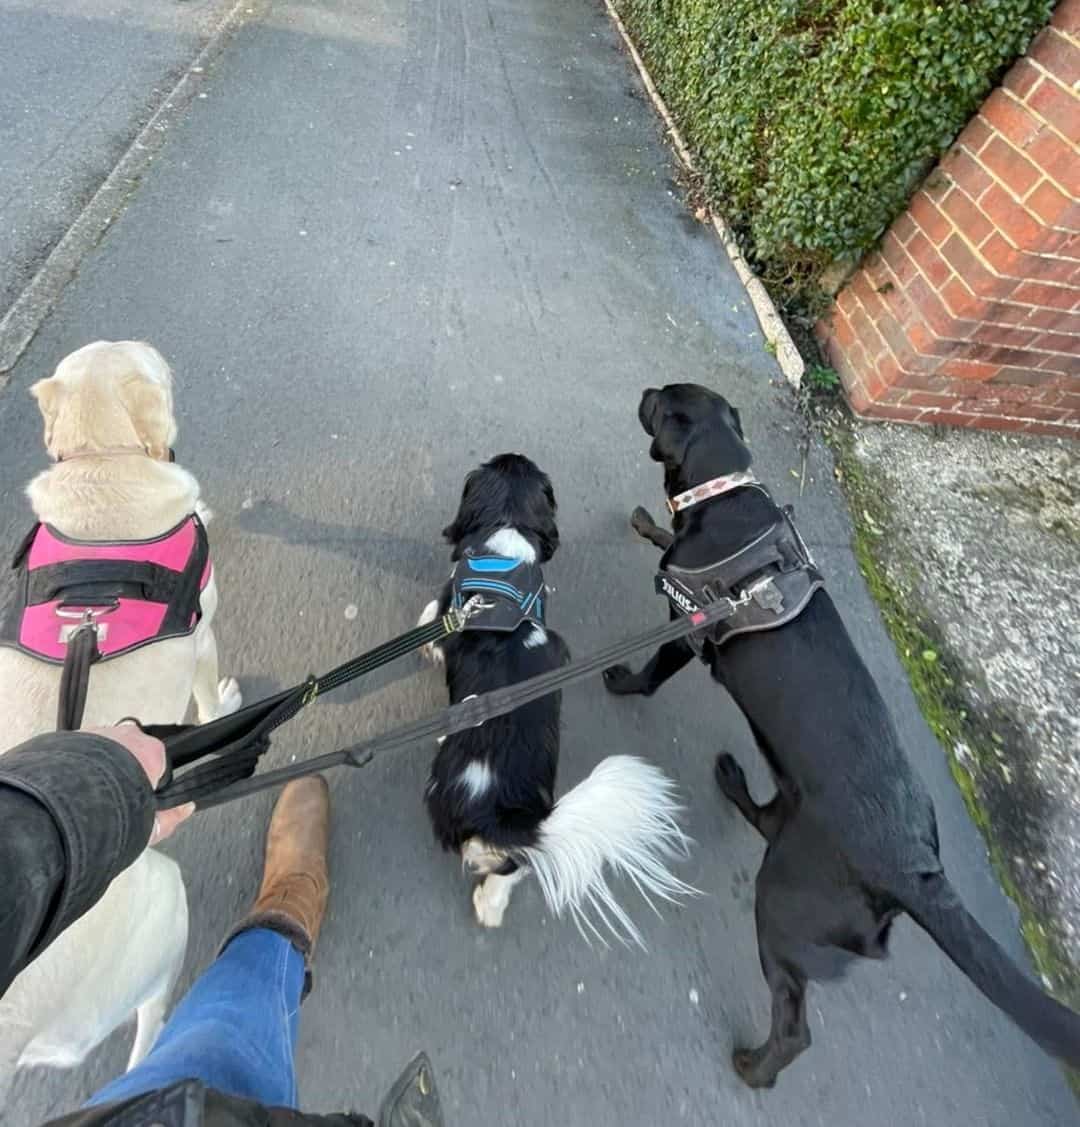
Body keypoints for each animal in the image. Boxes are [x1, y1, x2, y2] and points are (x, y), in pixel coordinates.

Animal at [419, 455, 698, 942]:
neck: (506, 561)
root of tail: (512, 823)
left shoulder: (447, 609)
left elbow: (429, 620)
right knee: (513, 868)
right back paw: (491, 904)